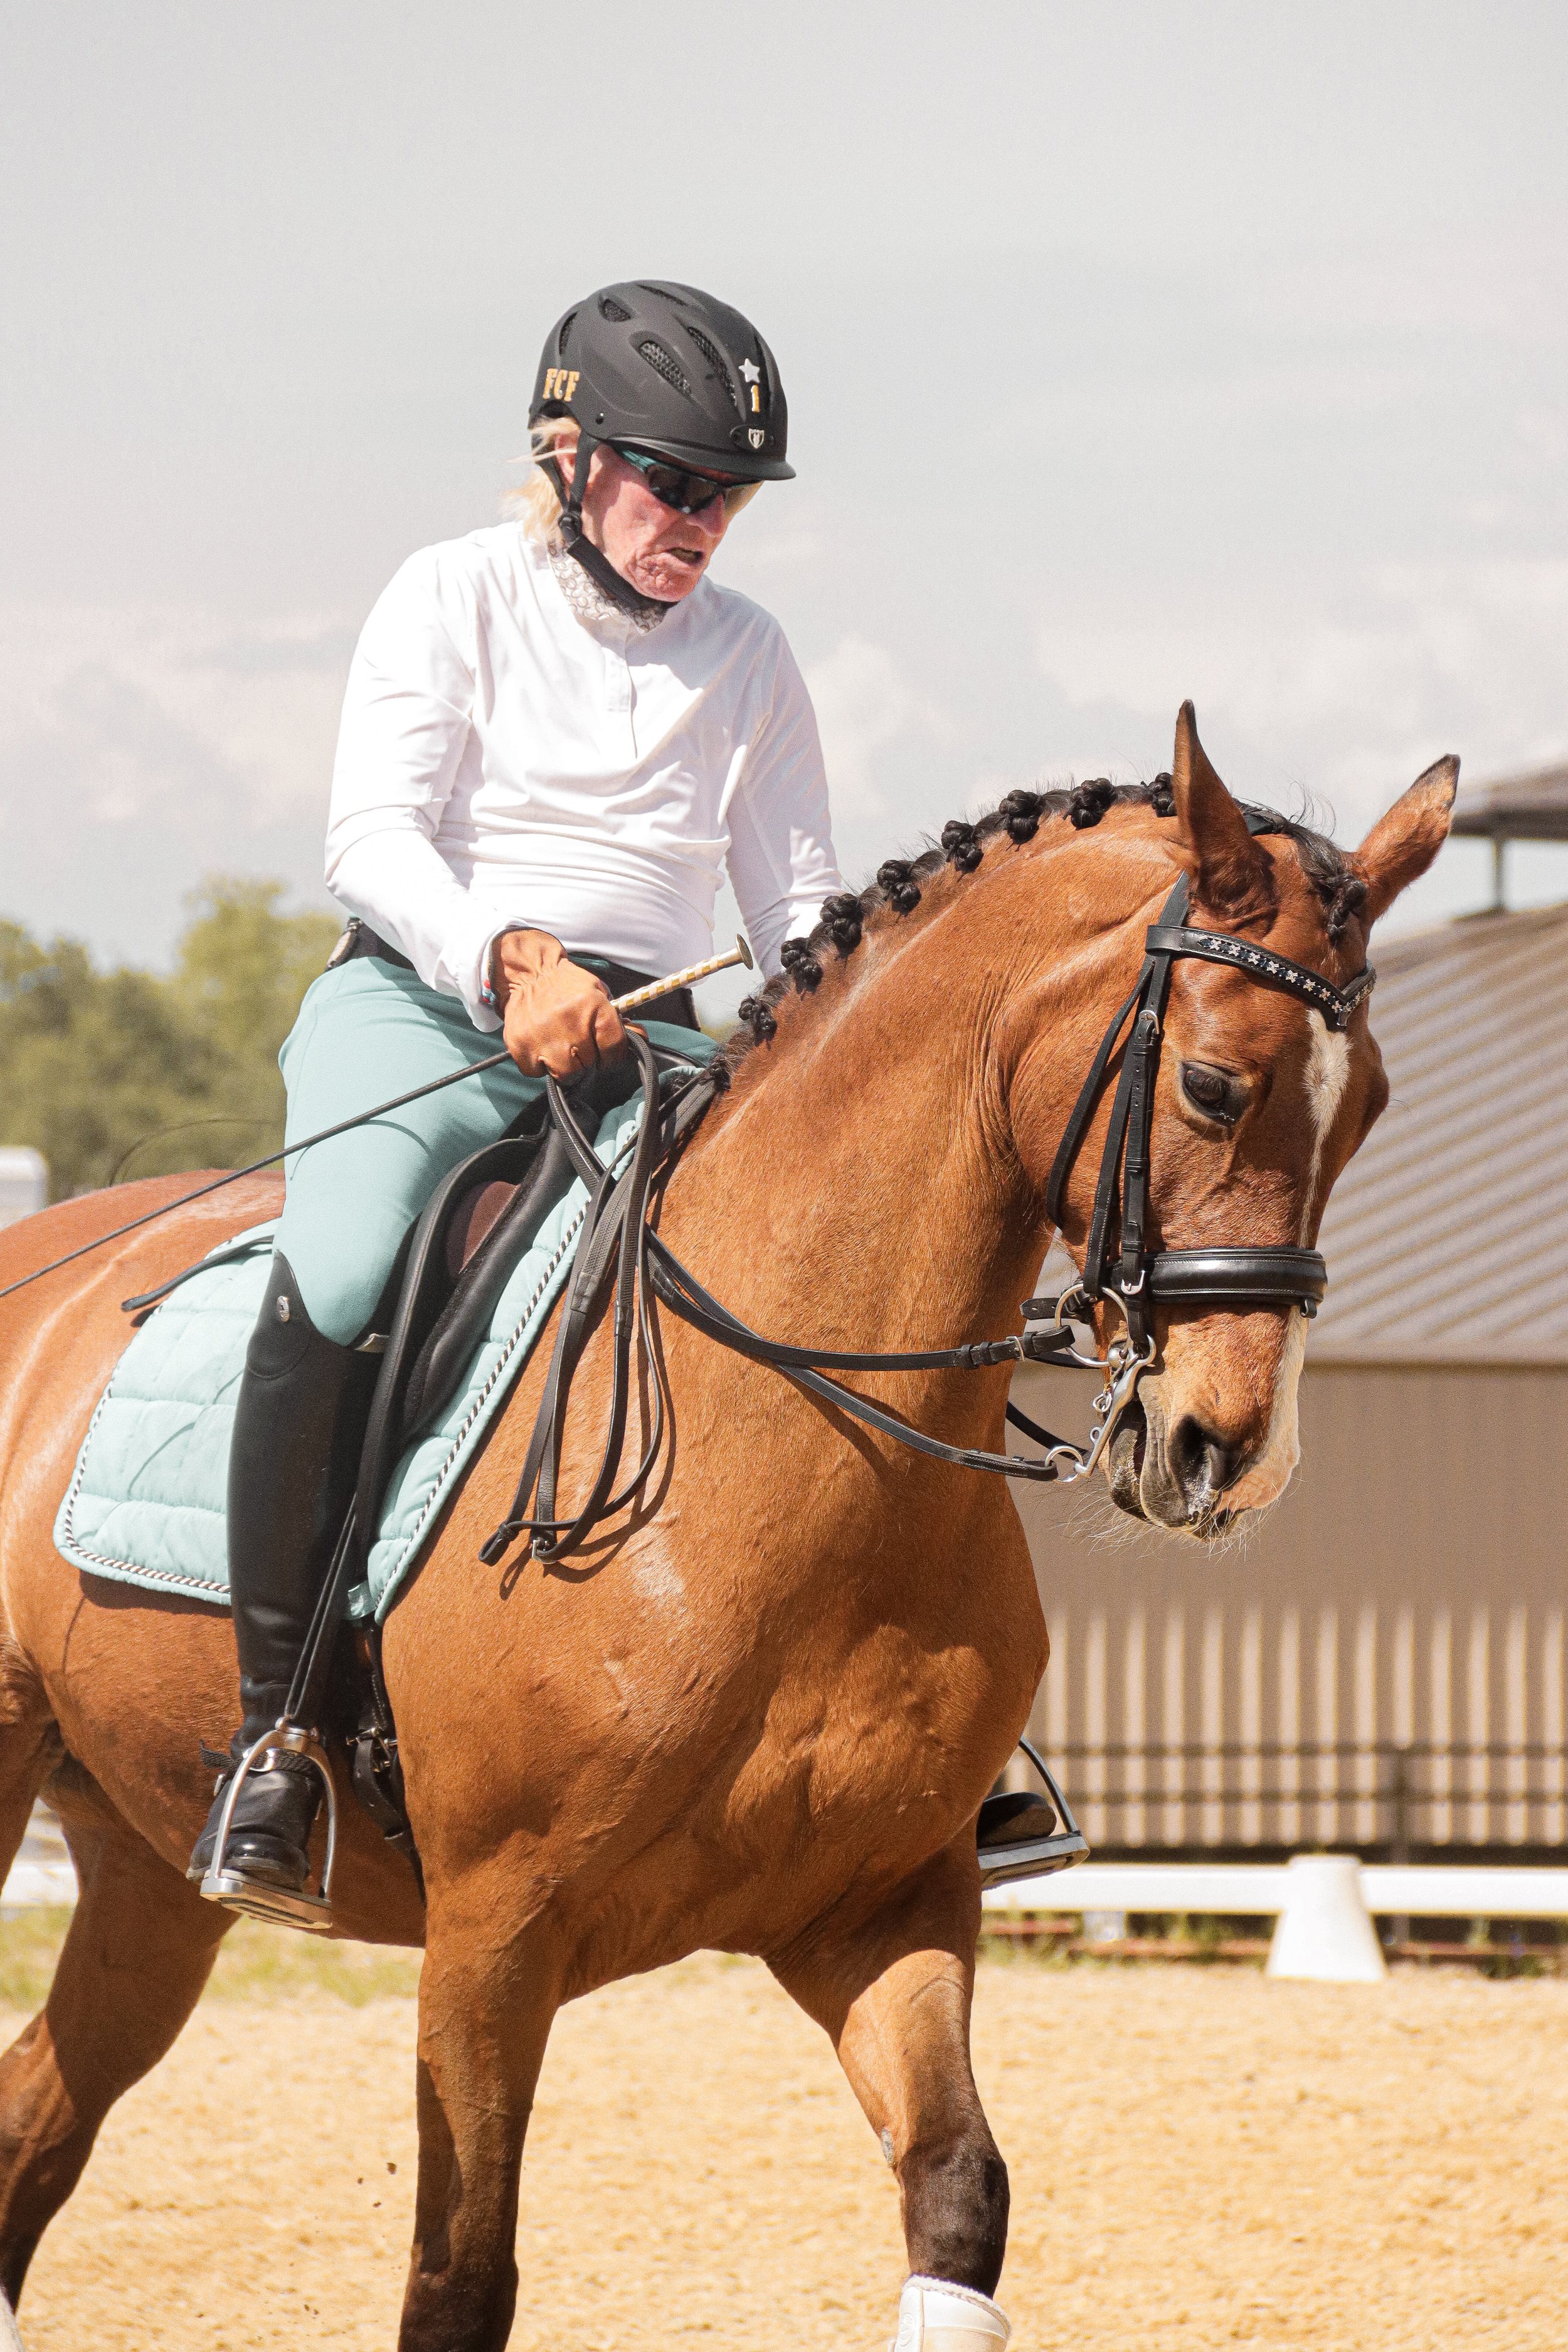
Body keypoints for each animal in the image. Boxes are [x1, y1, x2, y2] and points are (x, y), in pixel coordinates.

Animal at [0, 708, 1453, 2348]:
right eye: (1210, 1083)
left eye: (1371, 1103)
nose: (1228, 1453)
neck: (797, 1447)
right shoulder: (489, 1940)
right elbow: (460, 2273)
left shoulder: (881, 1904)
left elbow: (959, 2191)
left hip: (142, 1859)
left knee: (32, 2122)